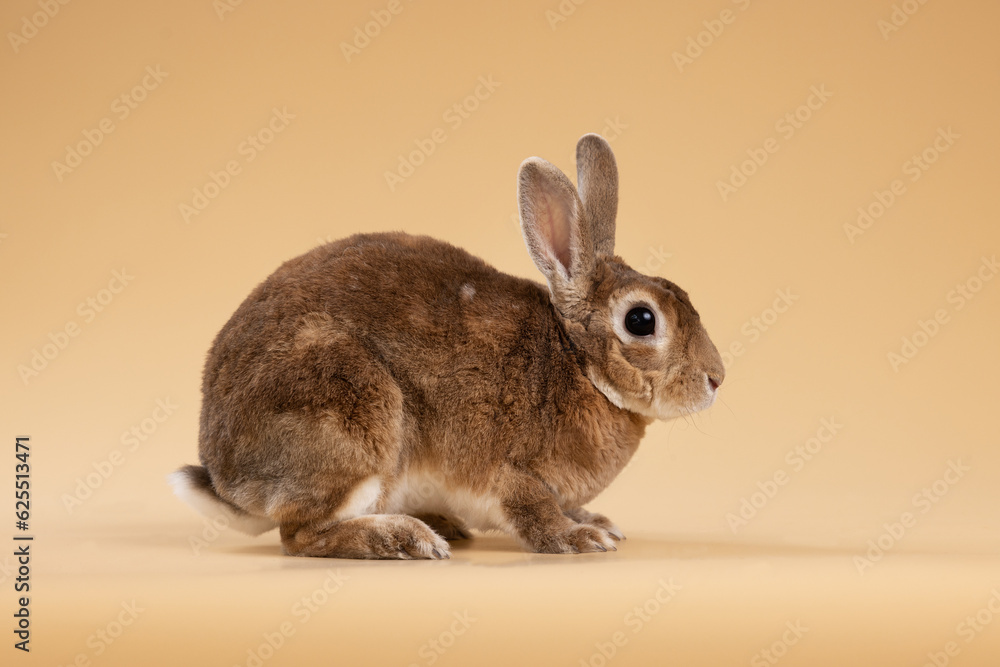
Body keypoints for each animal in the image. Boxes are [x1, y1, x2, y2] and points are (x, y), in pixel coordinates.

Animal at [170, 133, 725, 559]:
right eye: (641, 320)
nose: (716, 379)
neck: (578, 364)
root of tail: (228, 479)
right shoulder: (511, 472)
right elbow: (534, 510)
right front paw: (581, 537)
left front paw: (598, 521)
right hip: (349, 413)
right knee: (301, 535)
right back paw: (406, 540)